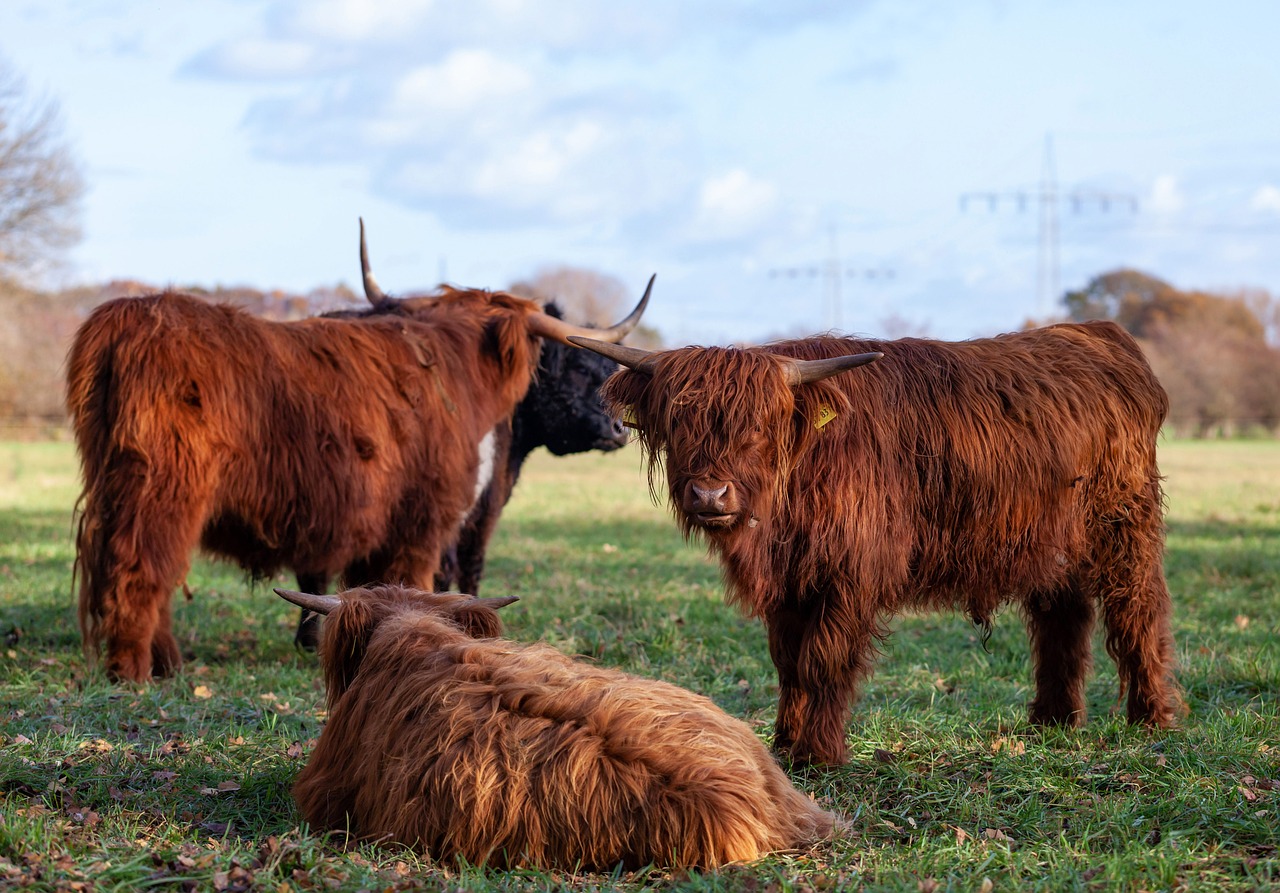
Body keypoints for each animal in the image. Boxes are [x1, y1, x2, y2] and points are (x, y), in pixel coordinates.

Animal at [576, 321, 1182, 767]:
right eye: (679, 421)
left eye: (759, 426)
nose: (709, 493)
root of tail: (1099, 334)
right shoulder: (791, 582)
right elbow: (788, 661)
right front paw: (784, 745)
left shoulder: (849, 575)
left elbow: (823, 659)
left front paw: (818, 754)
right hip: (1056, 543)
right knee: (1063, 619)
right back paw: (1051, 722)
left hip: (1125, 527)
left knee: (1138, 609)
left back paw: (1151, 718)